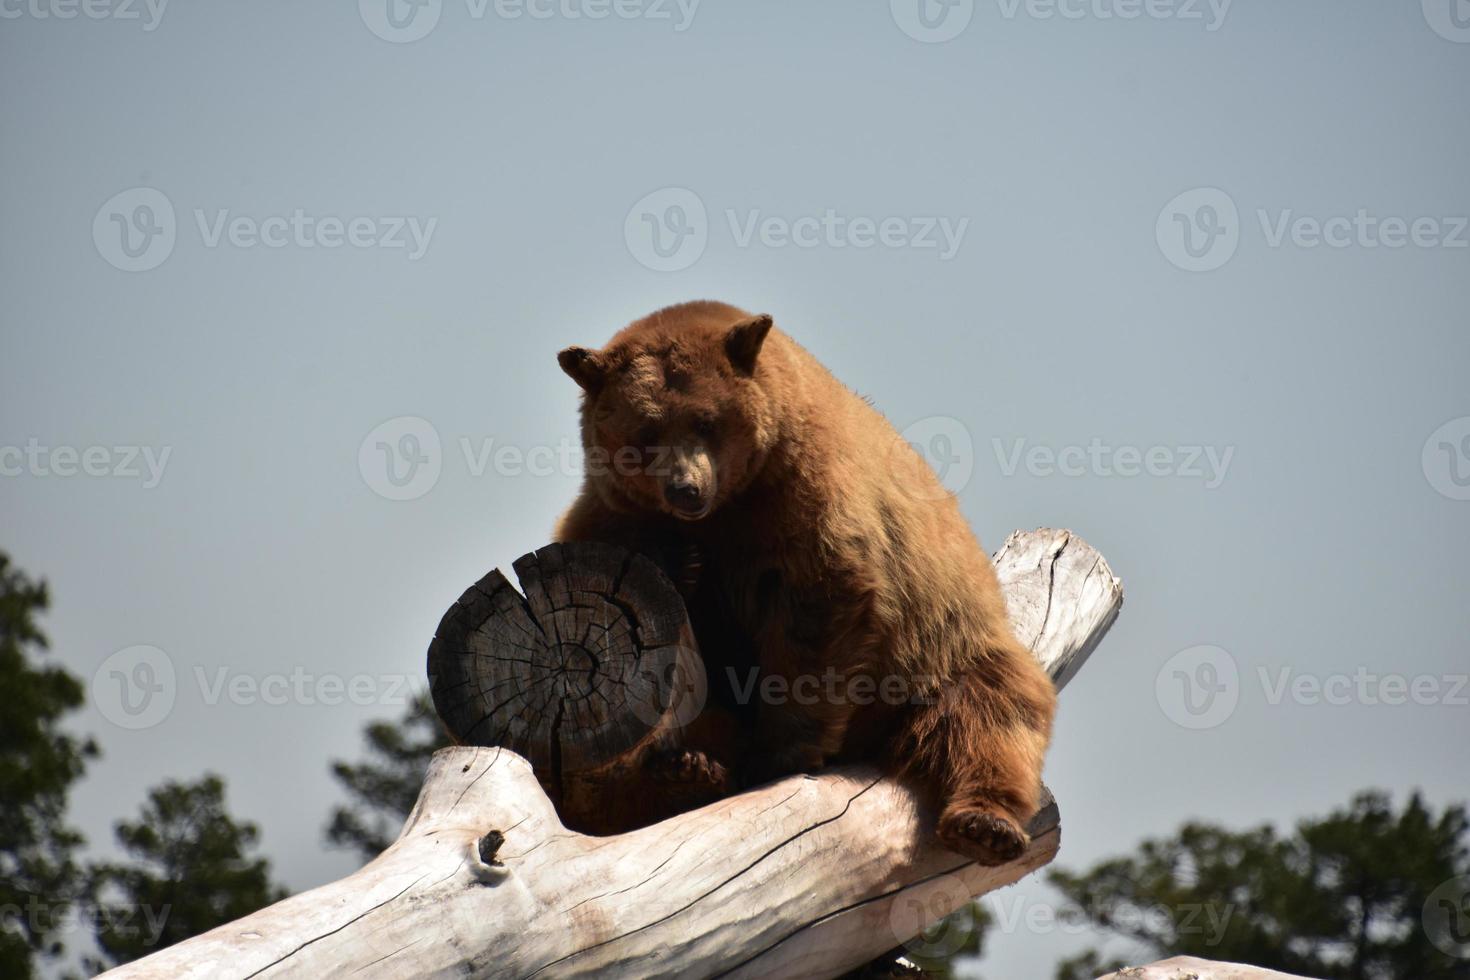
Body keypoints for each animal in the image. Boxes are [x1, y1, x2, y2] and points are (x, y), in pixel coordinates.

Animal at [552, 299, 1058, 863]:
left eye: (706, 420)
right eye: (644, 432)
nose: (686, 489)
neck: (731, 506)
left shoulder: (804, 499)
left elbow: (817, 606)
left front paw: (783, 752)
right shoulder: (614, 513)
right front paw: (681, 564)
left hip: (943, 647)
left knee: (989, 714)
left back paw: (985, 824)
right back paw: (682, 773)